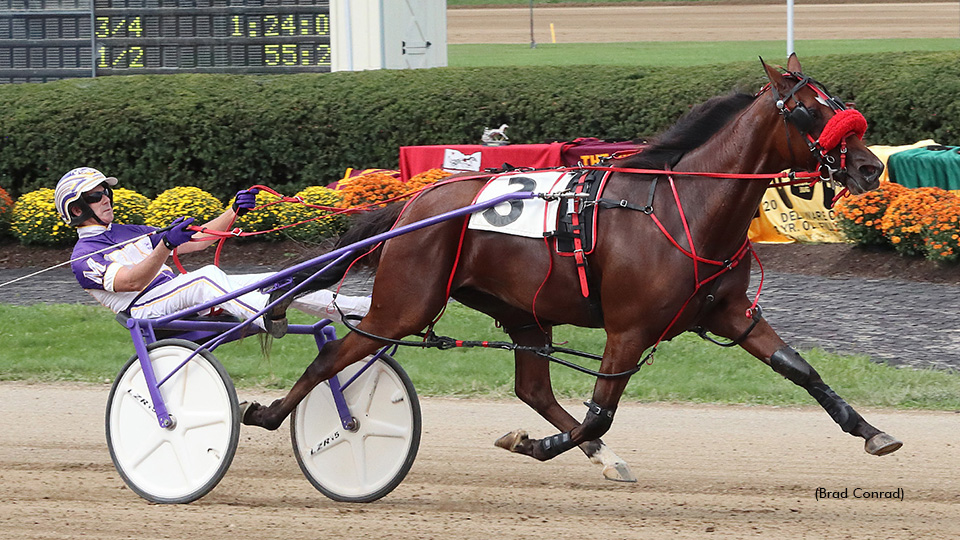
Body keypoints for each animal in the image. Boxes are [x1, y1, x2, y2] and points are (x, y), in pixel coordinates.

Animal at [238, 54, 900, 484]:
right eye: (809, 111)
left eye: (839, 104)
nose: (870, 167)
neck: (686, 207)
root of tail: (415, 202)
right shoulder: (629, 329)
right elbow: (598, 410)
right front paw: (536, 445)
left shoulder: (731, 313)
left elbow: (801, 369)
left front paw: (873, 432)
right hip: (404, 303)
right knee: (334, 355)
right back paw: (265, 413)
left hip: (523, 312)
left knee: (532, 386)